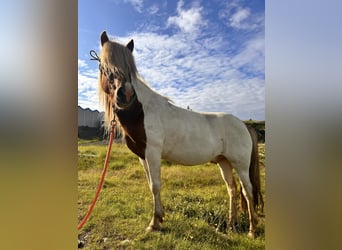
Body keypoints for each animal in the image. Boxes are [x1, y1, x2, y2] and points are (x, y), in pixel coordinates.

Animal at [95, 31, 264, 238]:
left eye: (130, 69)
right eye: (104, 66)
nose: (125, 95)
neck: (142, 111)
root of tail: (244, 125)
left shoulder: (153, 153)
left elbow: (156, 185)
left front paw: (154, 223)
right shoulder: (143, 157)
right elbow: (151, 185)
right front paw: (159, 219)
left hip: (240, 165)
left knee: (247, 191)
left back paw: (252, 230)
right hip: (224, 162)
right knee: (232, 190)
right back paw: (231, 226)